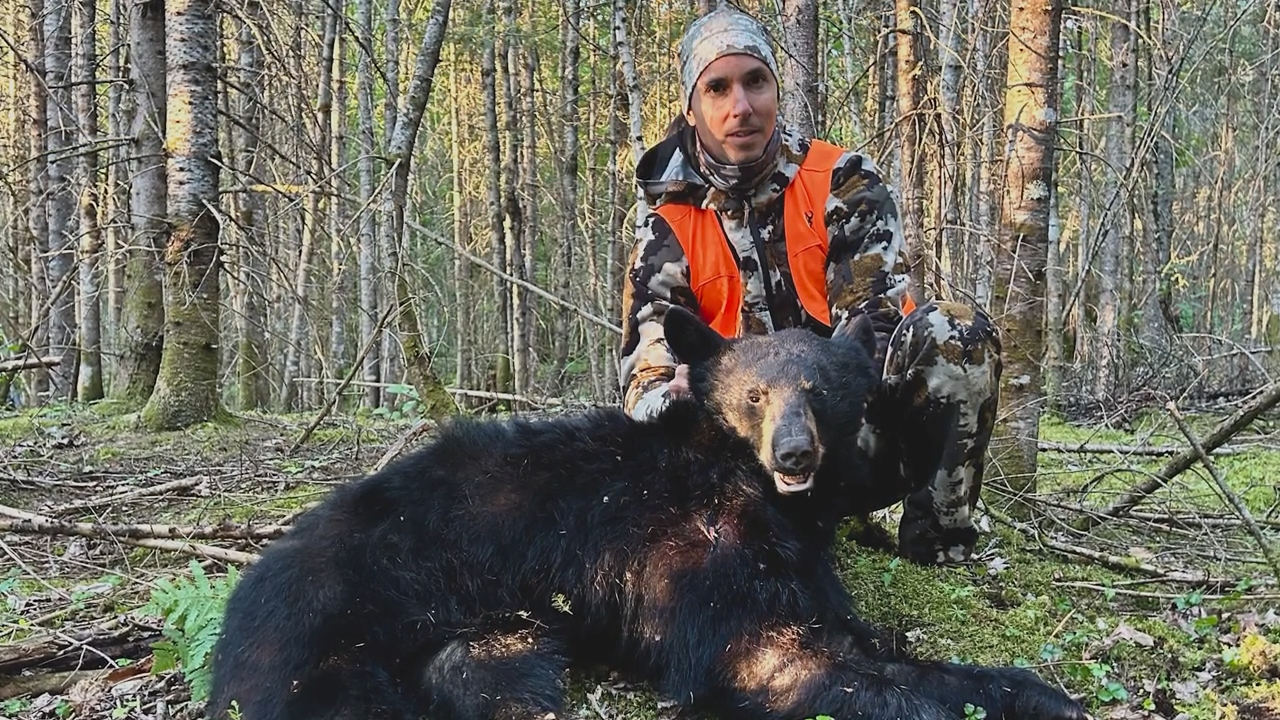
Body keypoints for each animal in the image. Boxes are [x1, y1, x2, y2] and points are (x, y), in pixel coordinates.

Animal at [208, 306, 1086, 720]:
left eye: (821, 391)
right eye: (754, 394)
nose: (792, 456)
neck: (741, 480)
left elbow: (872, 643)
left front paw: (1037, 690)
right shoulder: (696, 559)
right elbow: (772, 656)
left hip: (495, 639)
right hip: (335, 631)